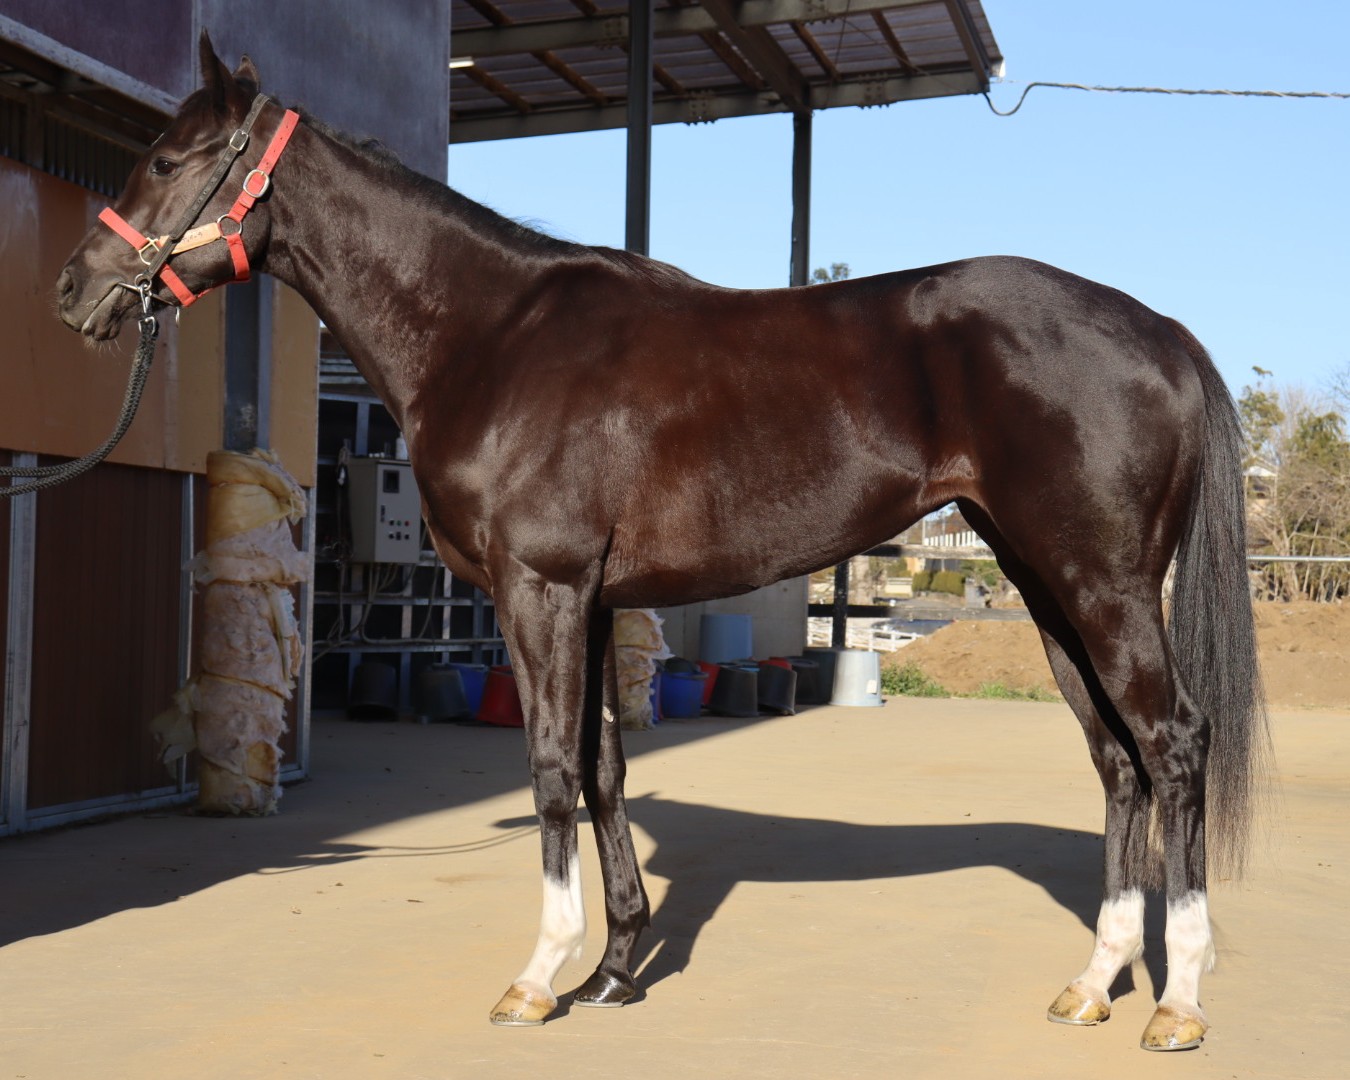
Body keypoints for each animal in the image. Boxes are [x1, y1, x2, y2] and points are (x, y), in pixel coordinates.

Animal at [55, 34, 1266, 1052]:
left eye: (165, 158)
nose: (74, 291)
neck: (491, 335)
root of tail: (1159, 330)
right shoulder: (590, 601)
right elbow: (604, 767)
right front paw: (614, 969)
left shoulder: (540, 591)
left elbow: (554, 769)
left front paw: (538, 978)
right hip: (1045, 585)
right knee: (1116, 761)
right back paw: (1093, 984)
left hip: (1102, 587)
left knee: (1173, 746)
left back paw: (1178, 1003)